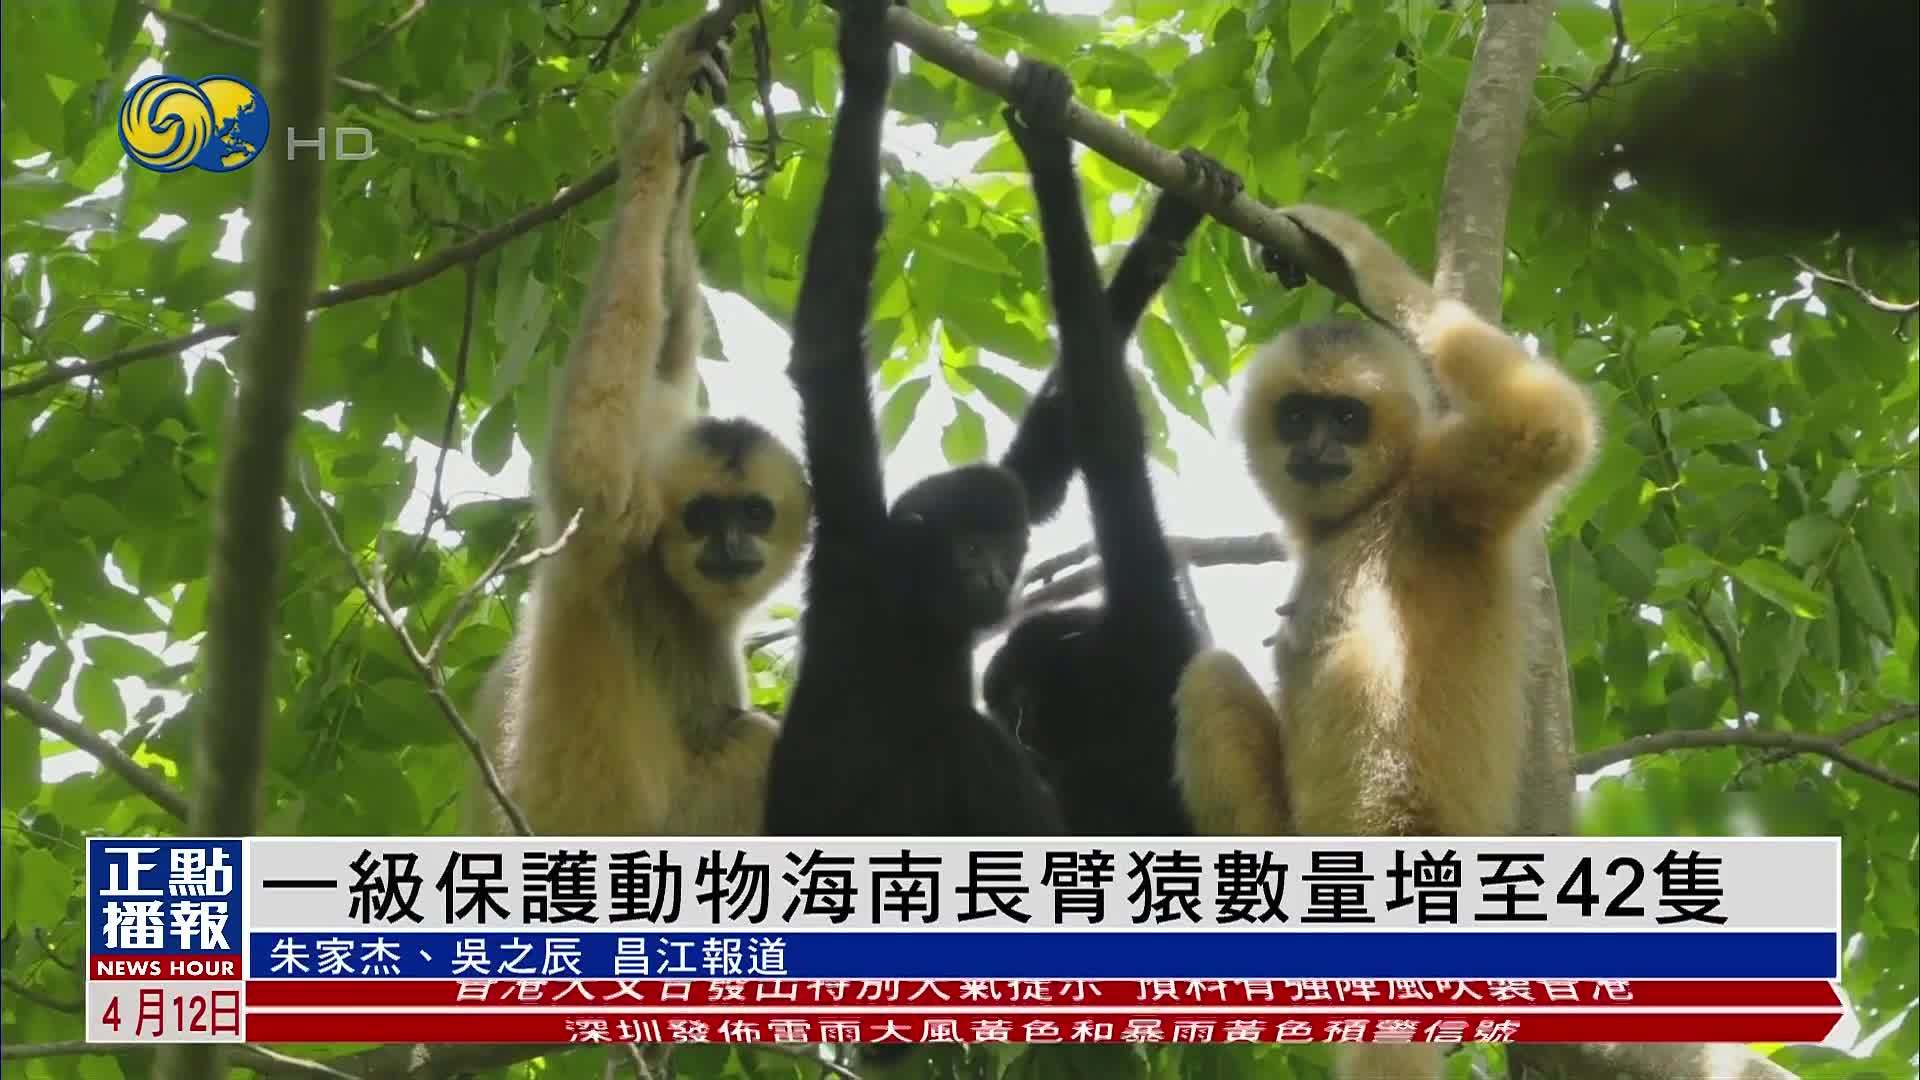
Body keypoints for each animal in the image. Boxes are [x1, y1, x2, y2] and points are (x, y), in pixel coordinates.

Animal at [468, 9, 810, 838]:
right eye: (704, 516)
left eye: (754, 512)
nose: (730, 545)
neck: (666, 588)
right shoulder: (609, 543)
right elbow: (586, 460)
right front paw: (651, 130)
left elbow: (666, 364)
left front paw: (682, 119)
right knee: (753, 742)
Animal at [761, 0, 1064, 840]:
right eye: (967, 547)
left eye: (1006, 548)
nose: (993, 573)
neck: (912, 603)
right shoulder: (854, 540)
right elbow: (826, 348)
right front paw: (866, 72)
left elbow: (1039, 470)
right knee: (962, 745)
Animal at [1173, 205, 1598, 1079]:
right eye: (1298, 416)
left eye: (1347, 417)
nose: (1318, 448)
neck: (1372, 511)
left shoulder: (1440, 493)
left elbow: (1541, 429)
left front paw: (1359, 254)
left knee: (1209, 674)